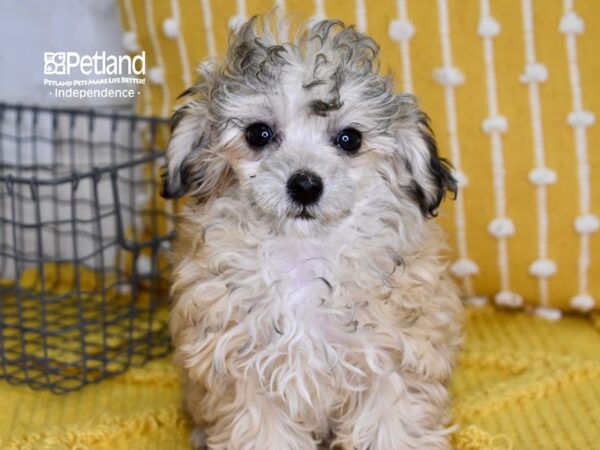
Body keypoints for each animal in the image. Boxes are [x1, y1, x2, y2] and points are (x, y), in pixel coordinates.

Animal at [161, 14, 464, 450]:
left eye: (350, 138)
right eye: (258, 133)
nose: (304, 185)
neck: (304, 255)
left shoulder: (391, 359)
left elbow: (390, 425)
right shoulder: (243, 368)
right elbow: (264, 433)